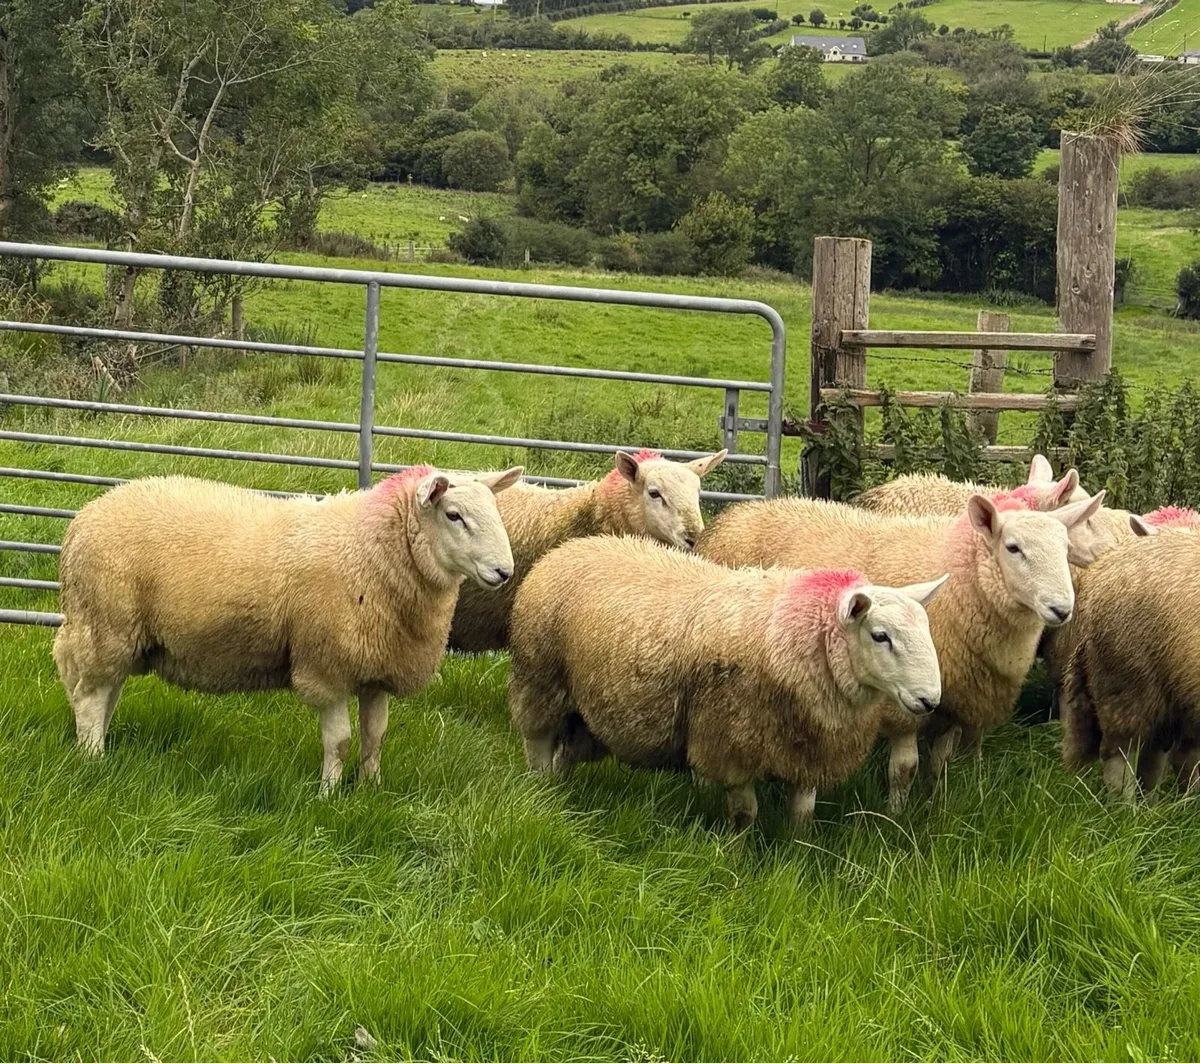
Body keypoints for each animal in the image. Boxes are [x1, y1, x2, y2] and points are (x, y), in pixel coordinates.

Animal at [52, 465, 522, 793]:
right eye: (454, 515)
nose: (505, 571)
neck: (373, 550)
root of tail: (83, 518)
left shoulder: (378, 667)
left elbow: (375, 737)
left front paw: (372, 790)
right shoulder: (327, 664)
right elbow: (340, 741)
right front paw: (328, 796)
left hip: (124, 635)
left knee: (104, 692)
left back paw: (99, 744)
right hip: (106, 621)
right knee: (90, 696)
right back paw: (93, 759)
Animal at [508, 534, 946, 832]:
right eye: (880, 636)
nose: (931, 700)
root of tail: (567, 548)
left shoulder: (808, 748)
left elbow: (803, 812)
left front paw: (796, 852)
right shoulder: (731, 740)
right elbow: (743, 813)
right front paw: (735, 856)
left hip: (583, 710)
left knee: (567, 752)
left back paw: (563, 789)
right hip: (540, 679)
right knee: (538, 745)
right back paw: (542, 791)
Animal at [698, 490, 1104, 809]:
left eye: (1065, 549)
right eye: (1013, 548)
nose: (1061, 609)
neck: (963, 579)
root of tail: (738, 512)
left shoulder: (950, 699)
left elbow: (940, 760)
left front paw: (934, 798)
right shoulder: (904, 701)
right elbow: (905, 768)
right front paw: (896, 815)